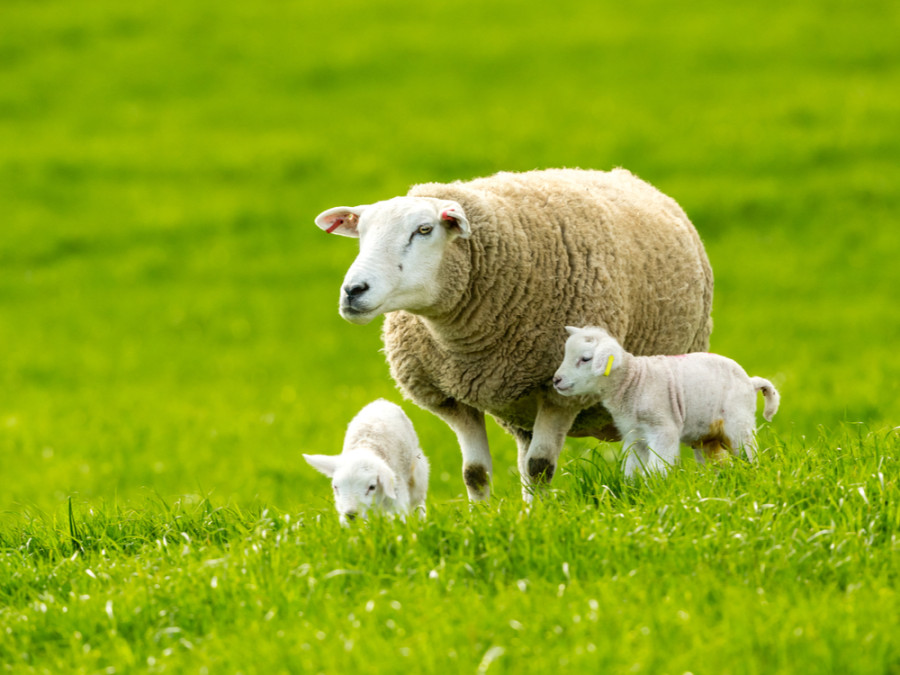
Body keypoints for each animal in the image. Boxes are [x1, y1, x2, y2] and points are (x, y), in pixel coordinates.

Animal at [312, 166, 712, 500]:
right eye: (361, 234)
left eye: (424, 230)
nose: (353, 291)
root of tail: (625, 175)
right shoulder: (451, 399)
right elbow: (475, 473)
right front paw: (483, 520)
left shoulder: (558, 394)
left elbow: (540, 468)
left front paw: (540, 520)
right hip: (527, 415)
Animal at [552, 326, 776, 476]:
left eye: (586, 359)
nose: (556, 380)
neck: (633, 380)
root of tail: (751, 382)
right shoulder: (635, 434)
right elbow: (632, 468)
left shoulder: (663, 428)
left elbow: (658, 467)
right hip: (708, 437)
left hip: (739, 425)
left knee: (749, 456)